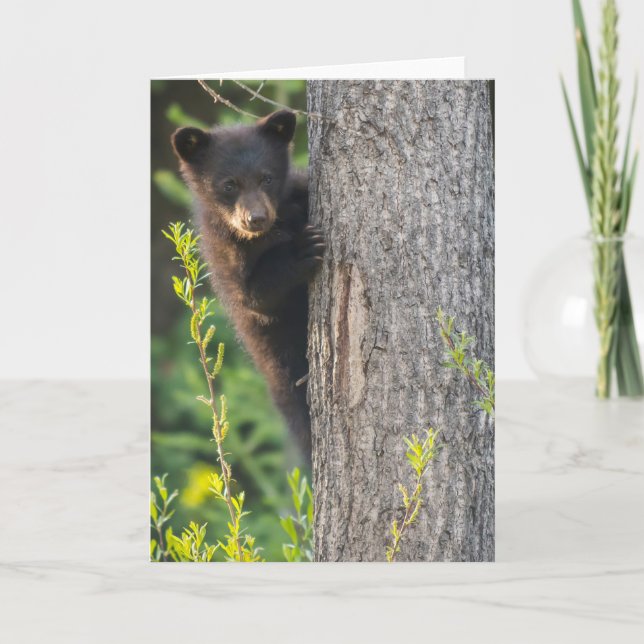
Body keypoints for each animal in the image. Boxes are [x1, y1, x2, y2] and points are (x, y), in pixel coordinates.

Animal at [171, 110, 324, 460]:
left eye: (266, 178)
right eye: (229, 184)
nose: (256, 218)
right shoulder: (225, 256)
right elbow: (256, 297)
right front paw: (303, 248)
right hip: (279, 364)